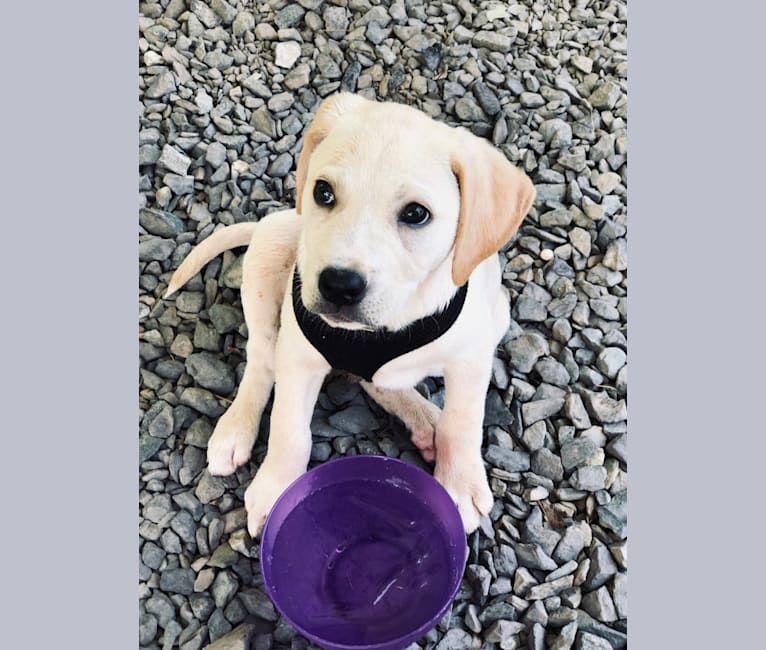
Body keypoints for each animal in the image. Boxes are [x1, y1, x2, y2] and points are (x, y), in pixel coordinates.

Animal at [165, 92, 536, 536]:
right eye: (323, 192)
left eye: (416, 213)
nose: (339, 285)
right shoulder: (300, 357)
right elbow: (289, 429)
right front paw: (277, 490)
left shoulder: (471, 355)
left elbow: (462, 422)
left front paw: (460, 483)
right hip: (270, 250)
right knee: (262, 357)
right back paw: (236, 428)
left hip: (499, 311)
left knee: (377, 384)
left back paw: (426, 420)